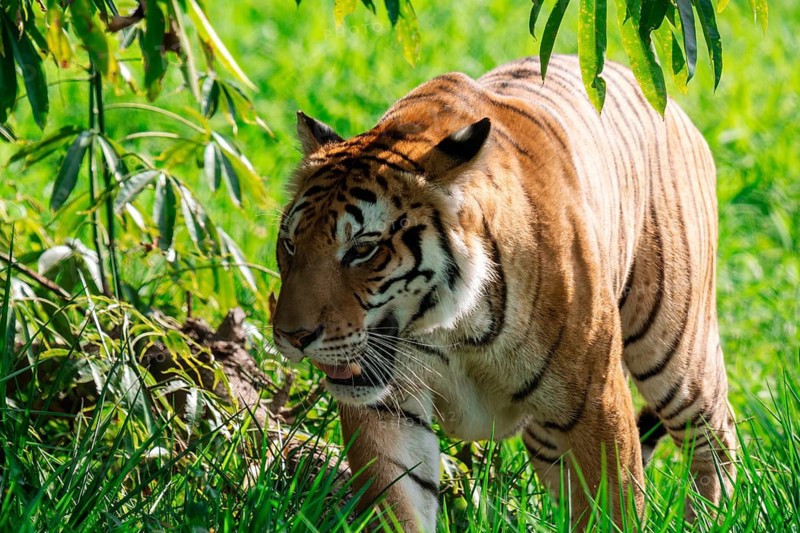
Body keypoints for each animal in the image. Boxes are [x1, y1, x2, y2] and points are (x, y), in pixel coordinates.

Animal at [271, 54, 737, 531]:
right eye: (289, 244)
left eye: (363, 249)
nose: (291, 337)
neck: (451, 326)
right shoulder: (387, 410)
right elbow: (397, 502)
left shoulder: (596, 401)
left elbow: (614, 508)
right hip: (547, 435)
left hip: (675, 348)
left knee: (715, 436)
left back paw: (710, 518)